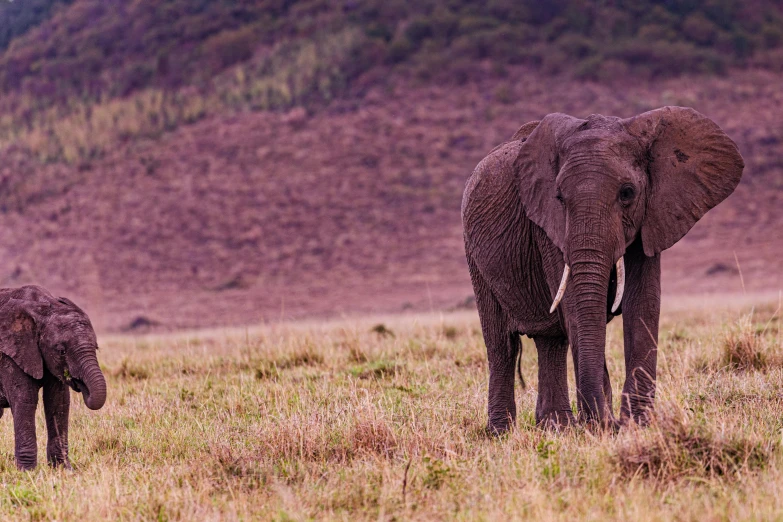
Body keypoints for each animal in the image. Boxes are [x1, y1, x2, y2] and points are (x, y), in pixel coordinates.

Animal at [0, 284, 106, 468]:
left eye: (96, 347)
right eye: (62, 351)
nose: (80, 383)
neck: (43, 308)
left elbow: (58, 401)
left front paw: (63, 469)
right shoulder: (11, 354)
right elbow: (25, 400)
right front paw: (28, 471)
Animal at [462, 106, 744, 430]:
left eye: (627, 193)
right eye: (559, 197)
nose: (611, 422)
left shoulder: (653, 215)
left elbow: (643, 303)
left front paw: (638, 425)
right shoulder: (548, 226)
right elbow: (576, 306)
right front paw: (604, 427)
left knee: (551, 341)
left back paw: (557, 428)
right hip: (474, 256)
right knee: (502, 345)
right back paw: (503, 432)